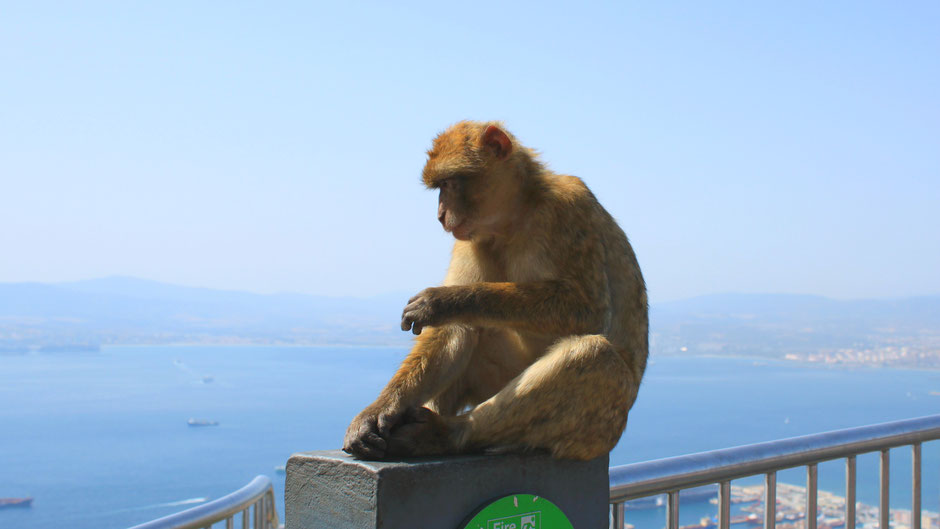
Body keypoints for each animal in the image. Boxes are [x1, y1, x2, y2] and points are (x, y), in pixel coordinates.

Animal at [344, 121, 648, 460]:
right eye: (439, 187)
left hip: (597, 433)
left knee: (595, 355)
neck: (514, 219)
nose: (440, 216)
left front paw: (442, 301)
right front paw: (380, 410)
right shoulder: (470, 240)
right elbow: (450, 330)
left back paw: (450, 434)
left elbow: (589, 309)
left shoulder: (569, 208)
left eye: (449, 184)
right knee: (471, 330)